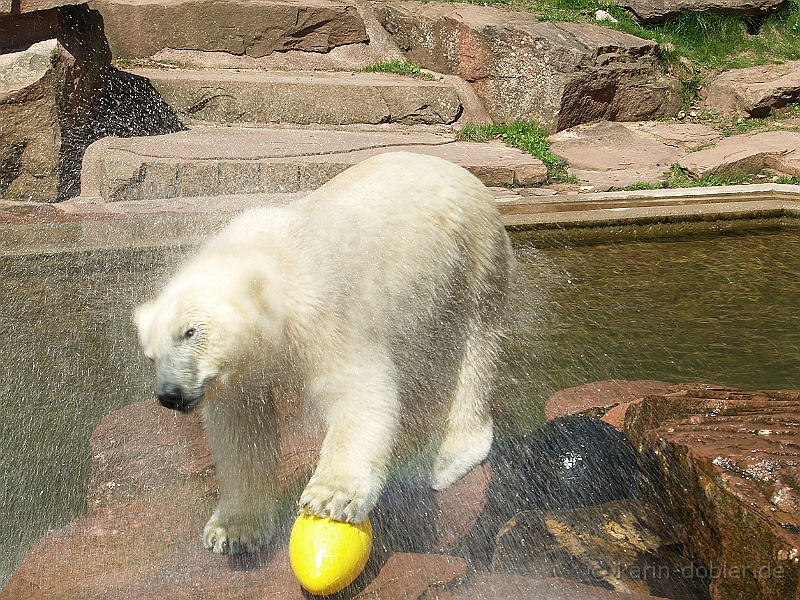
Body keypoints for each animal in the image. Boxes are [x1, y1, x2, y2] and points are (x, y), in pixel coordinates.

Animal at [134, 152, 512, 556]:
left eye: (190, 331)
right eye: (150, 354)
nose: (170, 395)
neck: (265, 268)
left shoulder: (324, 310)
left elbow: (359, 389)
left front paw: (331, 497)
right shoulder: (239, 372)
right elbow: (241, 430)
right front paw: (231, 530)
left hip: (472, 258)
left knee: (473, 350)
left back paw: (449, 456)